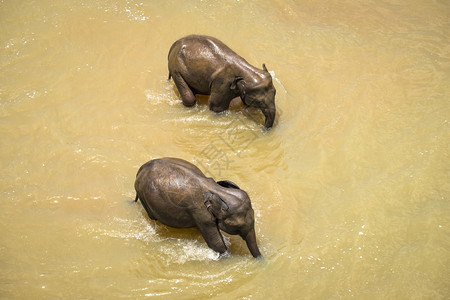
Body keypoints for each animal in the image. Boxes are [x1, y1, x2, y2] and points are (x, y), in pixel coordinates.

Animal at [134, 157, 262, 258]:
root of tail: (141, 169)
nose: (261, 260)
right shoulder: (201, 213)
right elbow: (216, 243)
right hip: (143, 196)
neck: (218, 190)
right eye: (237, 227)